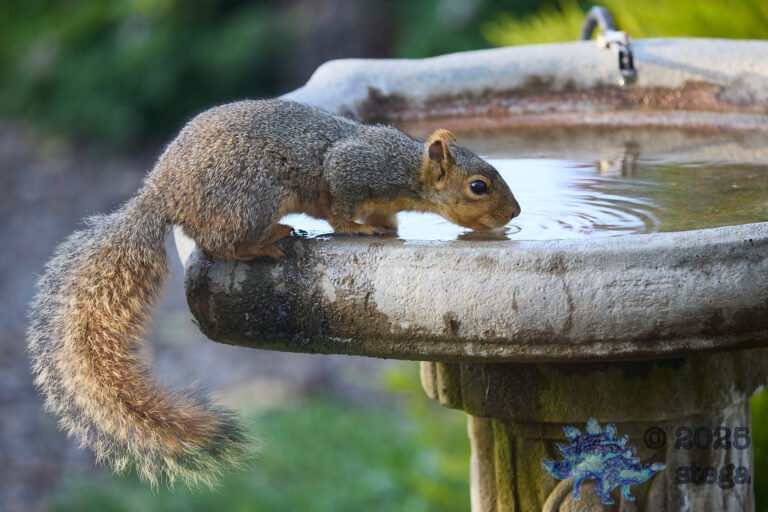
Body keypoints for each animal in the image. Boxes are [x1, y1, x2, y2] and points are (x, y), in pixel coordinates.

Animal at [27, 99, 520, 488]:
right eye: (478, 186)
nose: (516, 212)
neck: (405, 170)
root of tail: (161, 194)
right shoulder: (352, 172)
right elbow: (339, 210)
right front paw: (358, 229)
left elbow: (384, 219)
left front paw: (387, 230)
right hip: (252, 198)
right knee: (222, 242)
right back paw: (271, 240)